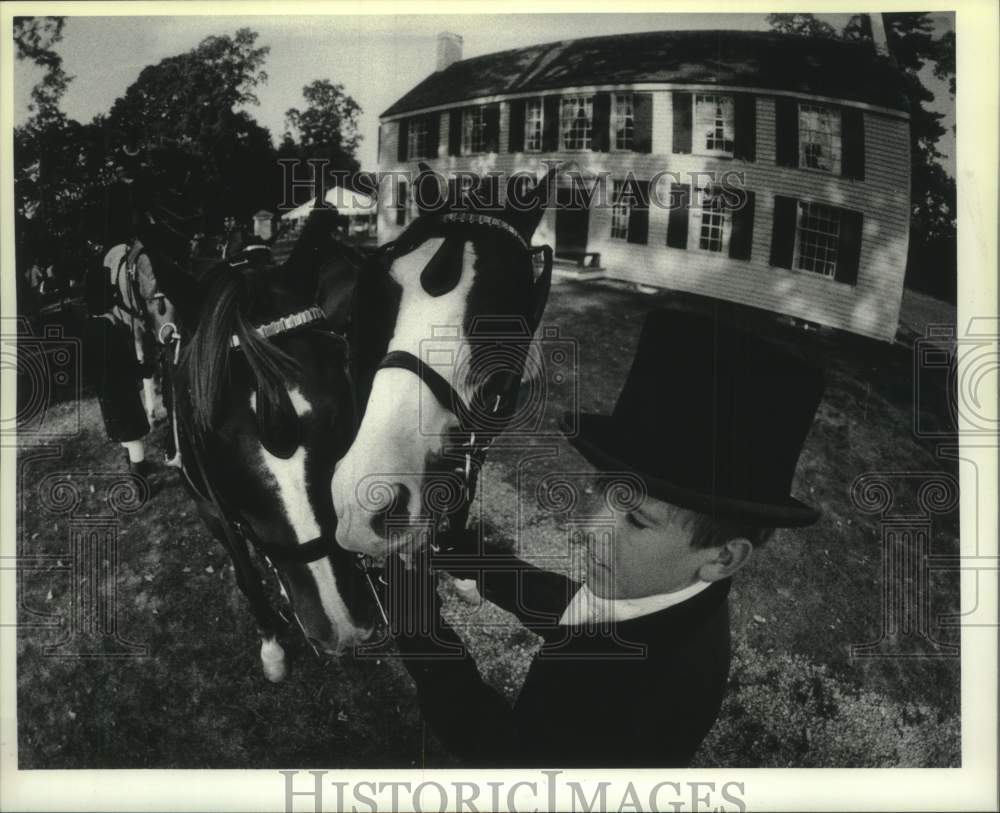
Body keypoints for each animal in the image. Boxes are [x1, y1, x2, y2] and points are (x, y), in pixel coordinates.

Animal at [143, 209, 384, 680]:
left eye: (339, 407)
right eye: (207, 435)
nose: (340, 622)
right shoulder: (209, 508)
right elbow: (245, 573)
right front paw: (271, 643)